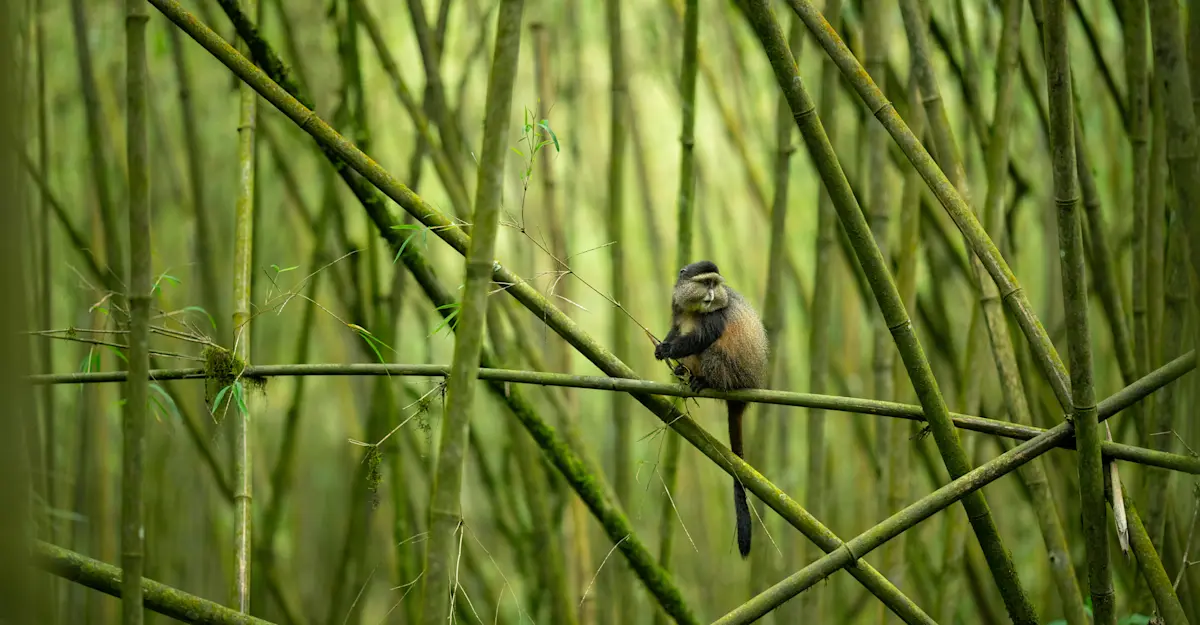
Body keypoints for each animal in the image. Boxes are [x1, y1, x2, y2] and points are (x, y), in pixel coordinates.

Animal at [653, 260, 769, 558]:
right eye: (706, 283)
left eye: (715, 284)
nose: (711, 295)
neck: (695, 309)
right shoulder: (677, 307)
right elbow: (676, 328)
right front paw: (663, 347)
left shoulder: (715, 317)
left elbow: (700, 339)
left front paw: (669, 350)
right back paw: (684, 374)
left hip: (728, 373)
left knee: (709, 351)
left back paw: (702, 381)